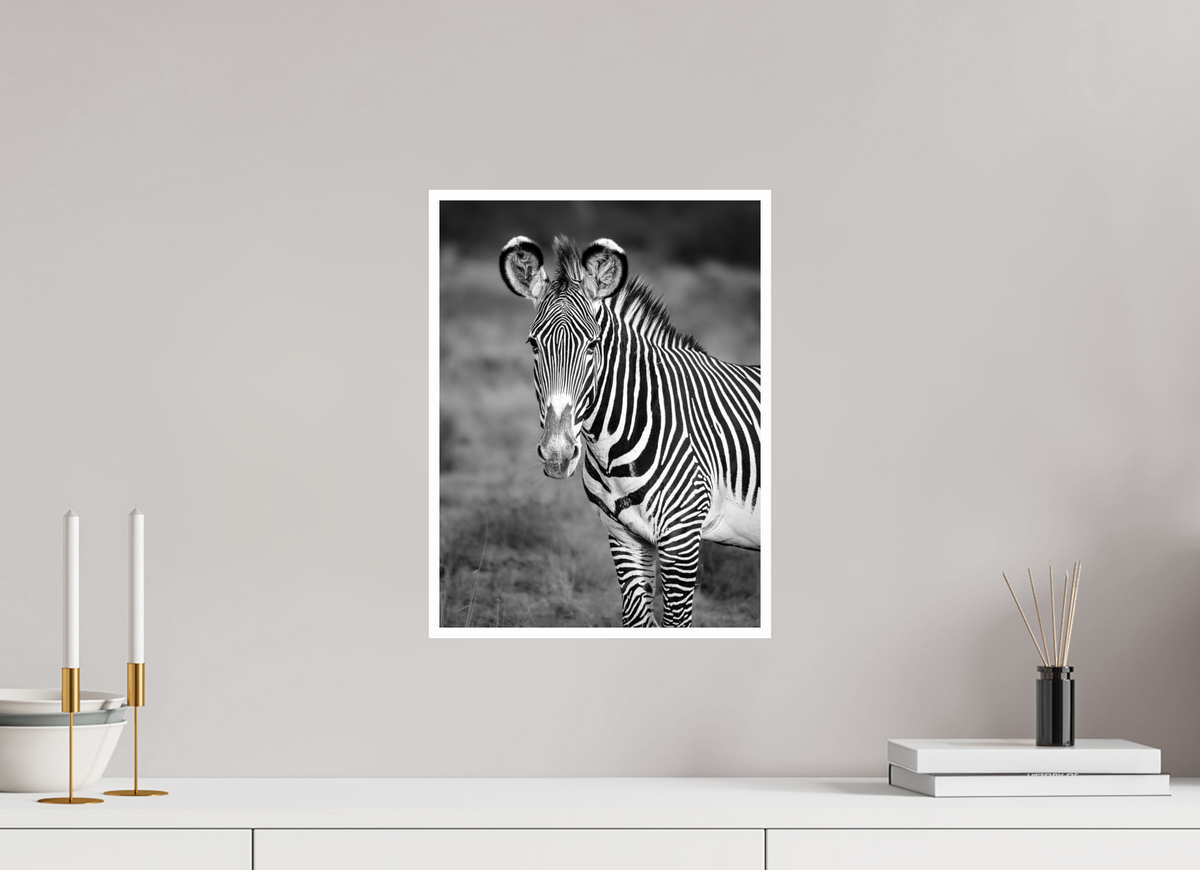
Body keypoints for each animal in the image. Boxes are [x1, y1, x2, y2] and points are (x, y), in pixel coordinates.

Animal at [499, 235, 761, 627]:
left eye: (593, 346)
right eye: (533, 344)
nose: (557, 454)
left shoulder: (682, 538)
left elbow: (676, 622)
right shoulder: (623, 536)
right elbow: (636, 618)